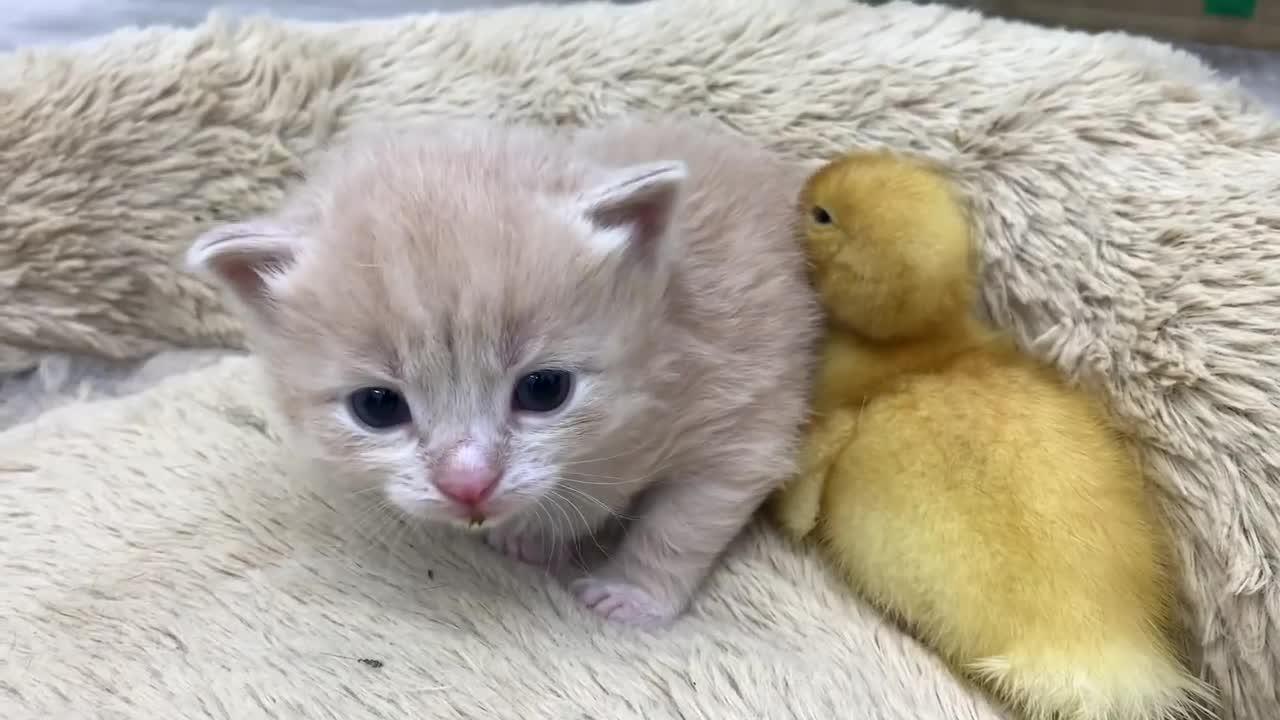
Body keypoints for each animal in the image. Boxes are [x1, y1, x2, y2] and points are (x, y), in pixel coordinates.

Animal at [184, 117, 814, 622]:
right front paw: (533, 533)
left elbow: (680, 525)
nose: (467, 485)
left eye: (544, 390)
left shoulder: (744, 416)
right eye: (377, 407)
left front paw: (632, 595)